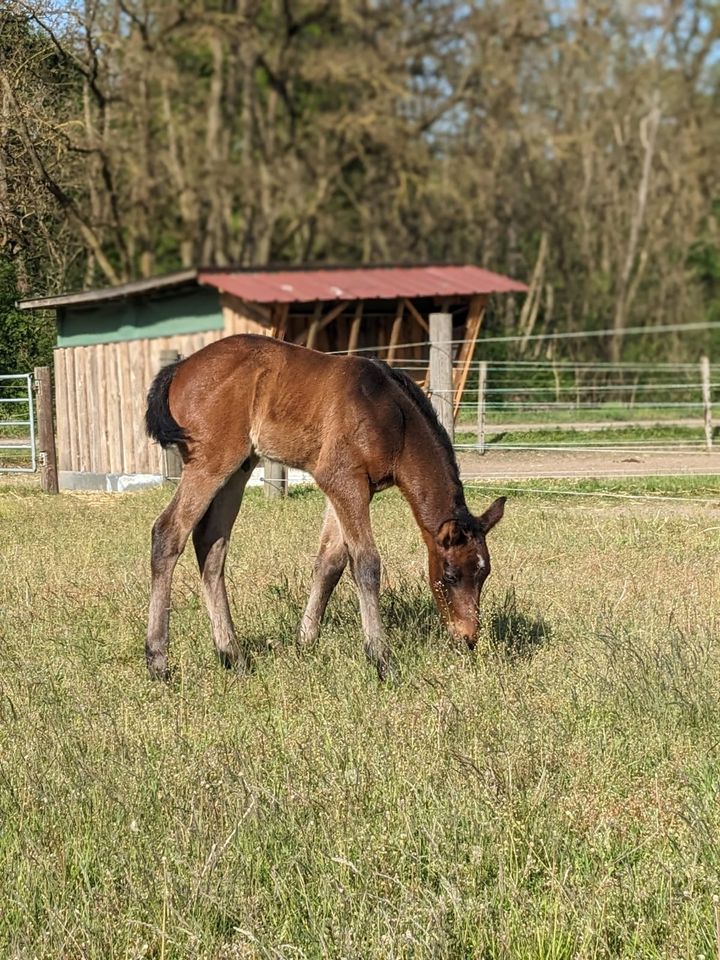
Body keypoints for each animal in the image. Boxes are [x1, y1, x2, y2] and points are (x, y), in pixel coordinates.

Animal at [145, 334, 506, 680]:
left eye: (484, 573)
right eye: (450, 575)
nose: (468, 637)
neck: (391, 415)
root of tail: (179, 369)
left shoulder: (352, 488)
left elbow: (330, 562)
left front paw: (304, 643)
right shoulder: (343, 479)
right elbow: (366, 563)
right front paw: (381, 659)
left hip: (239, 468)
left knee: (211, 544)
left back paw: (234, 656)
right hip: (212, 462)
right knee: (168, 532)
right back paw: (159, 662)